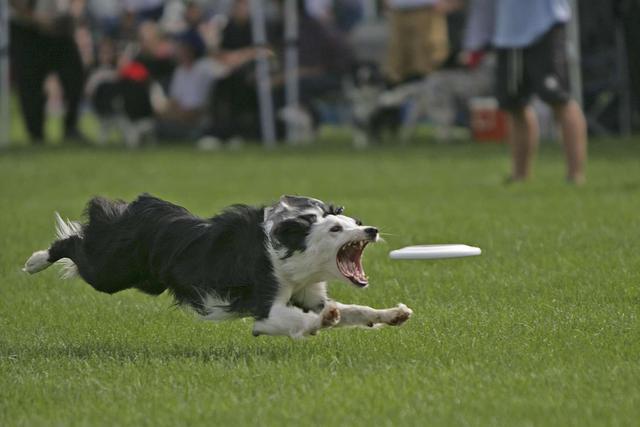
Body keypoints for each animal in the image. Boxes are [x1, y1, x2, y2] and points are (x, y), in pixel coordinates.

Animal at [22, 194, 412, 338]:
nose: (371, 230)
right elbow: (301, 320)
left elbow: (355, 310)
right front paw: (322, 322)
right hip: (112, 272)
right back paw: (34, 260)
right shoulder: (265, 308)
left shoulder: (308, 293)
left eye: (353, 224)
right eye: (335, 229)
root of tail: (141, 207)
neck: (292, 254)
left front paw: (393, 314)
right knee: (72, 244)